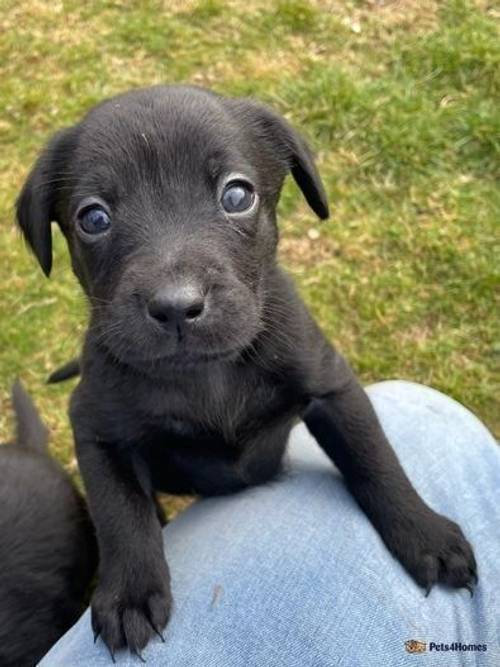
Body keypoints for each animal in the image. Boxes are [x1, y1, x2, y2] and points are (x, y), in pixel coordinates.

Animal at [14, 86, 476, 660]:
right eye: (93, 218)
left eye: (237, 196)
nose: (176, 306)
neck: (208, 374)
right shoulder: (96, 428)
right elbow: (122, 512)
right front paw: (130, 594)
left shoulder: (332, 386)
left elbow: (375, 459)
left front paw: (424, 532)